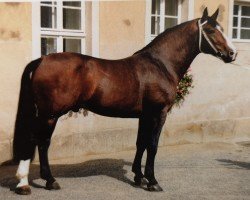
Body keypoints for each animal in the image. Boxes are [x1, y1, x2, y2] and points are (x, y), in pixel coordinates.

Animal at [13, 8, 236, 195]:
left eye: (223, 29)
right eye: (210, 30)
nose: (232, 54)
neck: (160, 64)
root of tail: (42, 60)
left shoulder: (145, 115)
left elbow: (141, 143)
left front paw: (138, 176)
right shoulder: (159, 113)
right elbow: (152, 146)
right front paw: (152, 181)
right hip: (49, 114)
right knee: (40, 142)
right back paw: (40, 181)